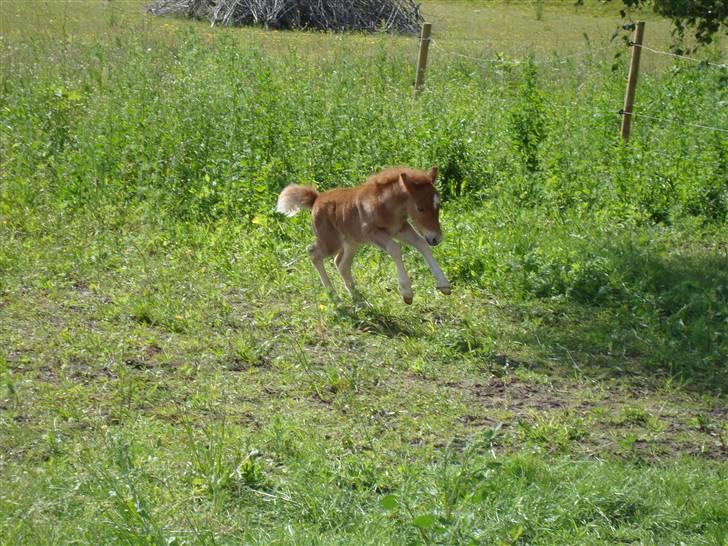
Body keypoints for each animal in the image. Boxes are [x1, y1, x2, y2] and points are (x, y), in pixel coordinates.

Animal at [278, 166, 452, 302]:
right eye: (420, 208)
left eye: (438, 205)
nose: (436, 238)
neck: (385, 206)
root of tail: (316, 200)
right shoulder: (373, 233)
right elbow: (395, 249)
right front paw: (406, 292)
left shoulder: (400, 229)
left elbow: (421, 243)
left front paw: (444, 284)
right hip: (331, 241)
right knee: (314, 253)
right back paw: (335, 298)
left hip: (351, 242)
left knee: (341, 264)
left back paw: (359, 300)